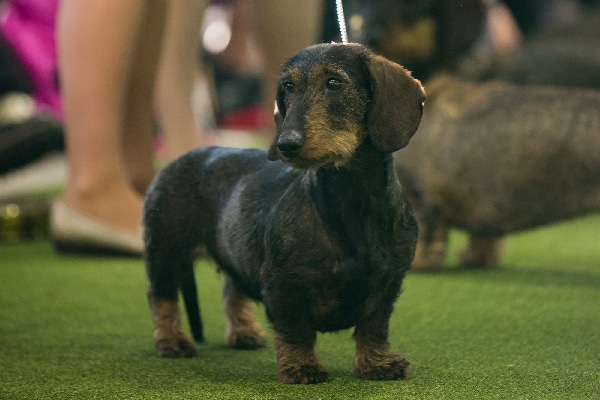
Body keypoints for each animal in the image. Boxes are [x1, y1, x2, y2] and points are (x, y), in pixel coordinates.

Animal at [144, 43, 426, 384]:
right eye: (288, 87)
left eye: (334, 82)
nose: (286, 144)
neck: (350, 202)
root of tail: (179, 159)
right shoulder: (283, 283)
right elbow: (296, 330)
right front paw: (301, 366)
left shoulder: (388, 283)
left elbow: (374, 326)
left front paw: (378, 363)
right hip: (166, 250)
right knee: (162, 297)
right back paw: (171, 340)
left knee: (232, 289)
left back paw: (244, 332)